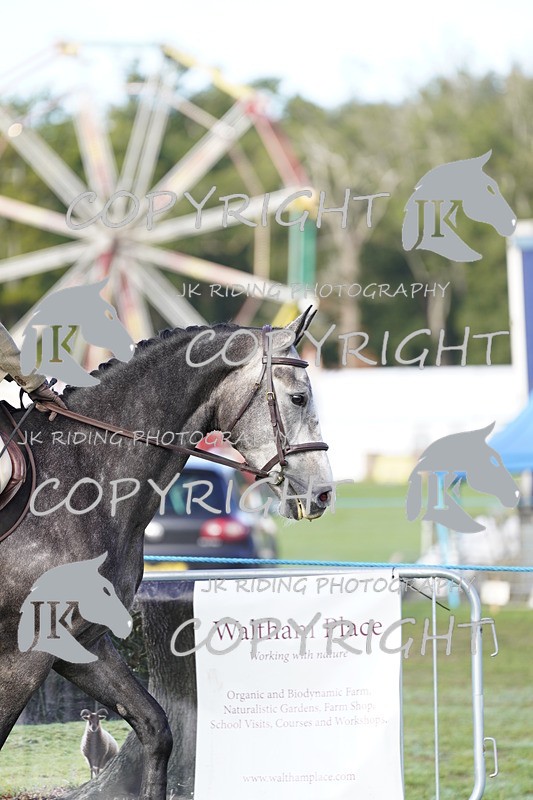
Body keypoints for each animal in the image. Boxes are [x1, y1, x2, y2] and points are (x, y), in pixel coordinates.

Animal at [0, 308, 332, 799]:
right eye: (298, 397)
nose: (324, 493)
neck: (81, 480)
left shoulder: (80, 641)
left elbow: (156, 728)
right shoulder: (23, 653)